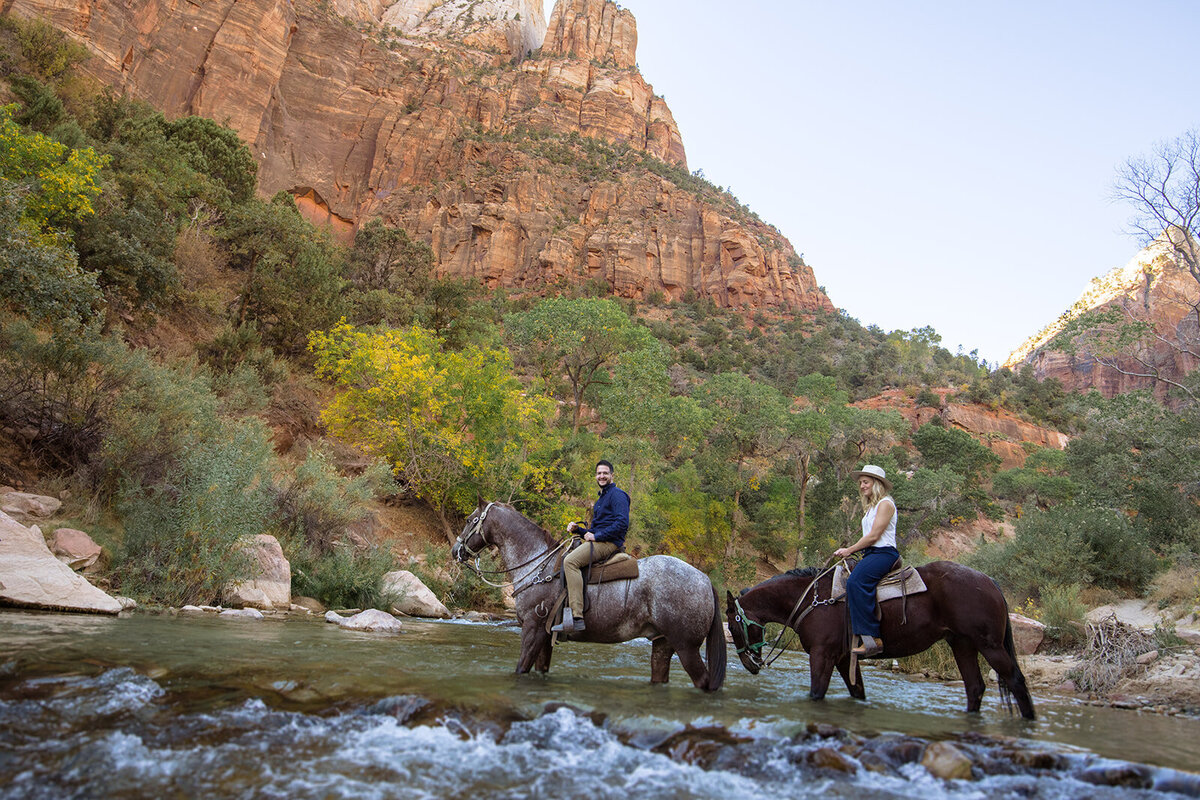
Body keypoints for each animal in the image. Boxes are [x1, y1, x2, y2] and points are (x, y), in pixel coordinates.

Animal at [453, 503, 724, 690]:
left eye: (470, 519)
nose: (456, 550)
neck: (539, 564)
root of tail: (705, 580)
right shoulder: (546, 636)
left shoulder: (533, 628)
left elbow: (521, 668)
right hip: (663, 643)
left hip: (686, 647)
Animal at [724, 563, 1036, 719]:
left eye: (734, 626)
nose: (750, 665)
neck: (811, 600)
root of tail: (990, 581)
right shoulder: (843, 658)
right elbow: (857, 693)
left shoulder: (822, 655)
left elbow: (816, 693)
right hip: (962, 644)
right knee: (974, 687)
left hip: (989, 645)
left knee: (1016, 681)